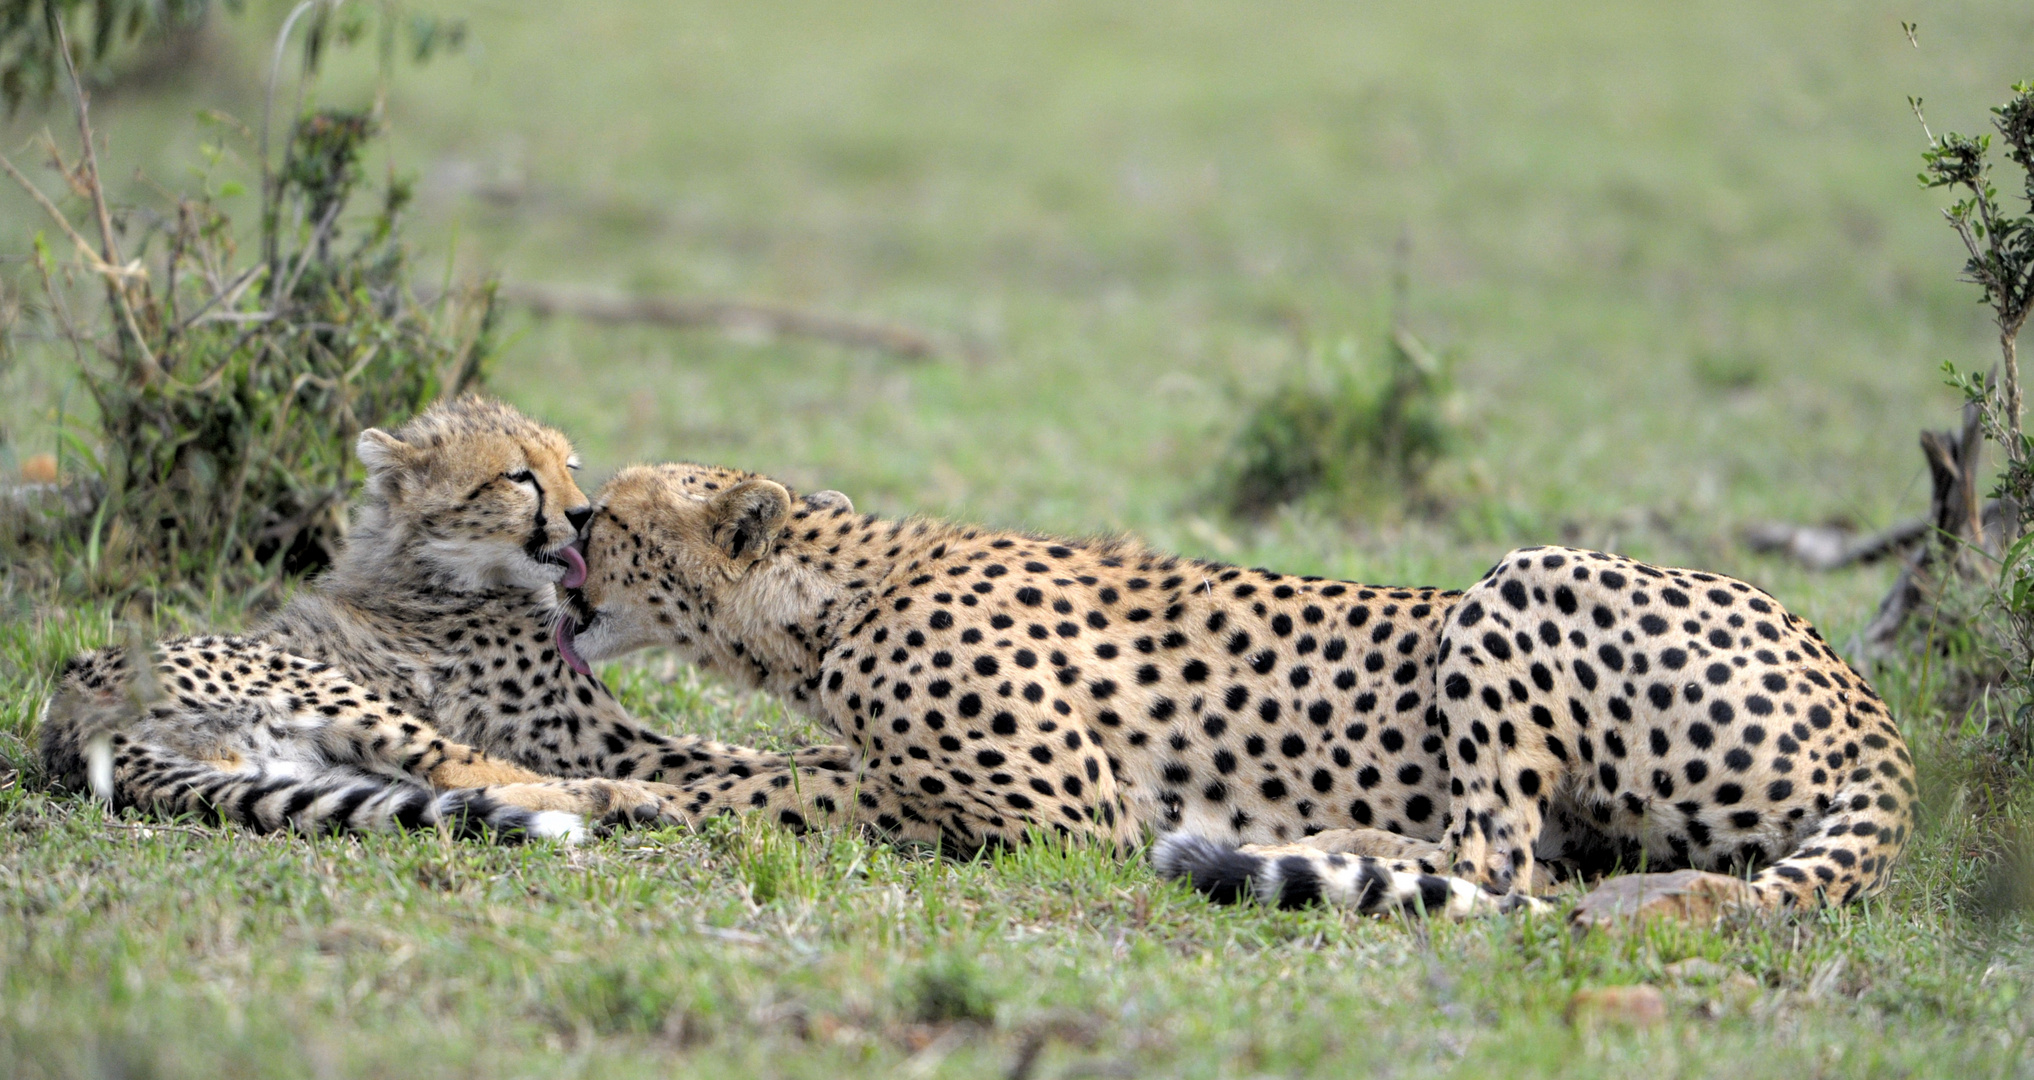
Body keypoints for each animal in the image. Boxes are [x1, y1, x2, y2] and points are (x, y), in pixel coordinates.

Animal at [561, 465, 1920, 923]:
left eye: (613, 511)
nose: (565, 523)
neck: (833, 594)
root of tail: (1870, 703)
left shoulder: (1068, 812)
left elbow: (803, 789)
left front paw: (624, 798)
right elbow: (770, 767)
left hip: (1523, 578)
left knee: (1499, 857)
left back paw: (1328, 843)